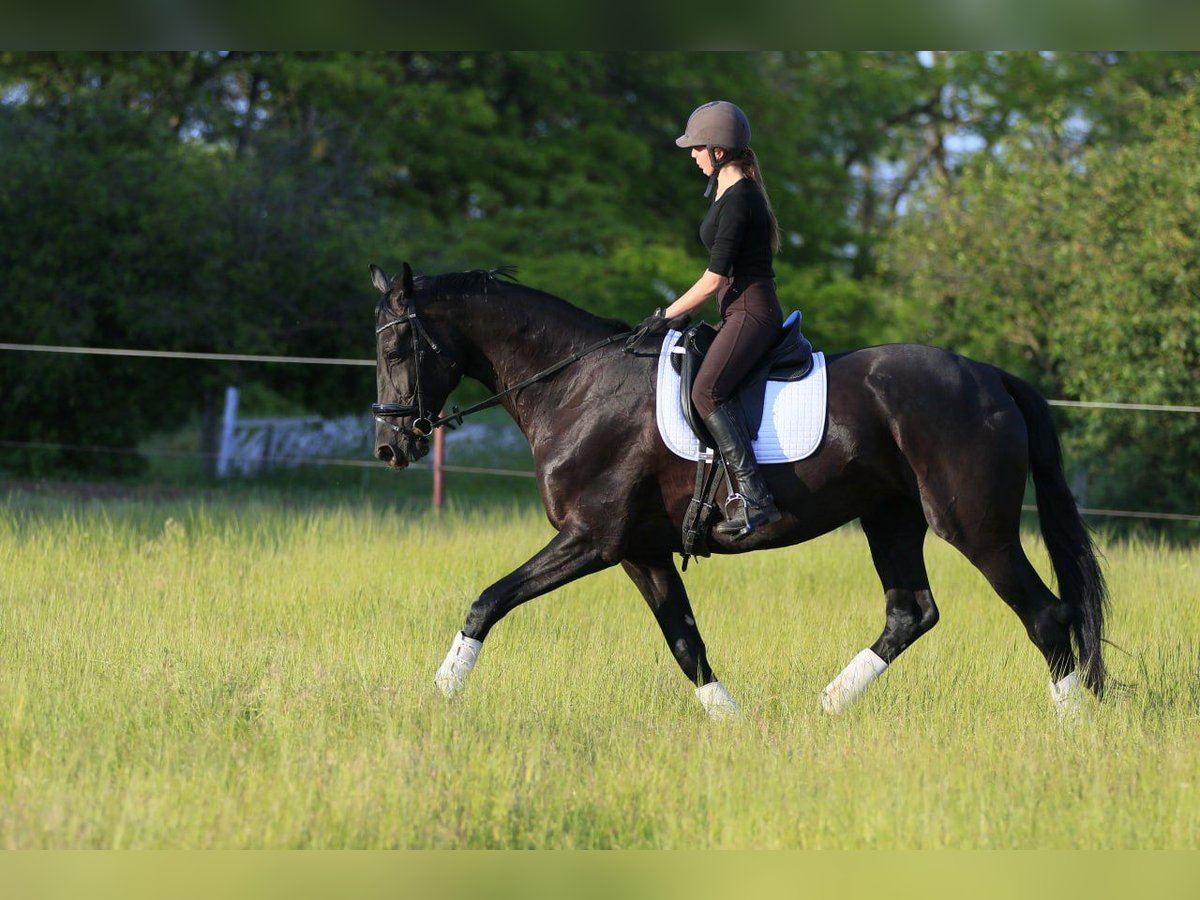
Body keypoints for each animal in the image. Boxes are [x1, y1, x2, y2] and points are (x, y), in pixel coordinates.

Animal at [367, 260, 1104, 720]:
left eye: (398, 348)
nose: (390, 447)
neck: (575, 384)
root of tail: (989, 376)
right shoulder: (640, 551)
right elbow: (685, 641)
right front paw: (734, 723)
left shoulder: (590, 539)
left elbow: (487, 602)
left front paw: (437, 695)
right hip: (890, 519)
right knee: (911, 614)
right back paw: (827, 705)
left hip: (973, 526)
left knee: (1046, 615)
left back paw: (1073, 729)